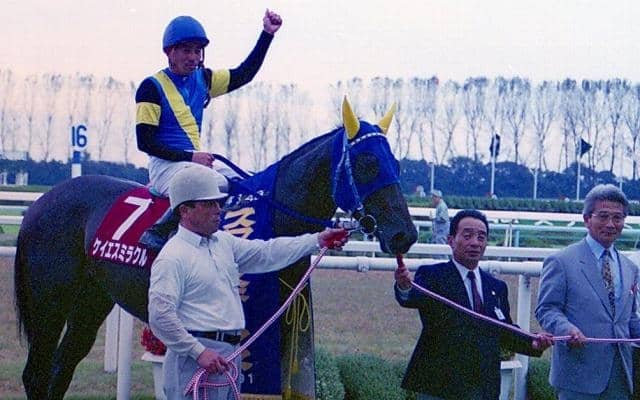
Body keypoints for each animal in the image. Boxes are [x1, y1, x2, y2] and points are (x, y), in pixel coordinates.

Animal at [14, 98, 418, 399]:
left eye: (397, 164)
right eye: (367, 163)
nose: (405, 235)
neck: (272, 213)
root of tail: (41, 202)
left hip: (91, 299)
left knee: (62, 367)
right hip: (50, 302)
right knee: (36, 373)